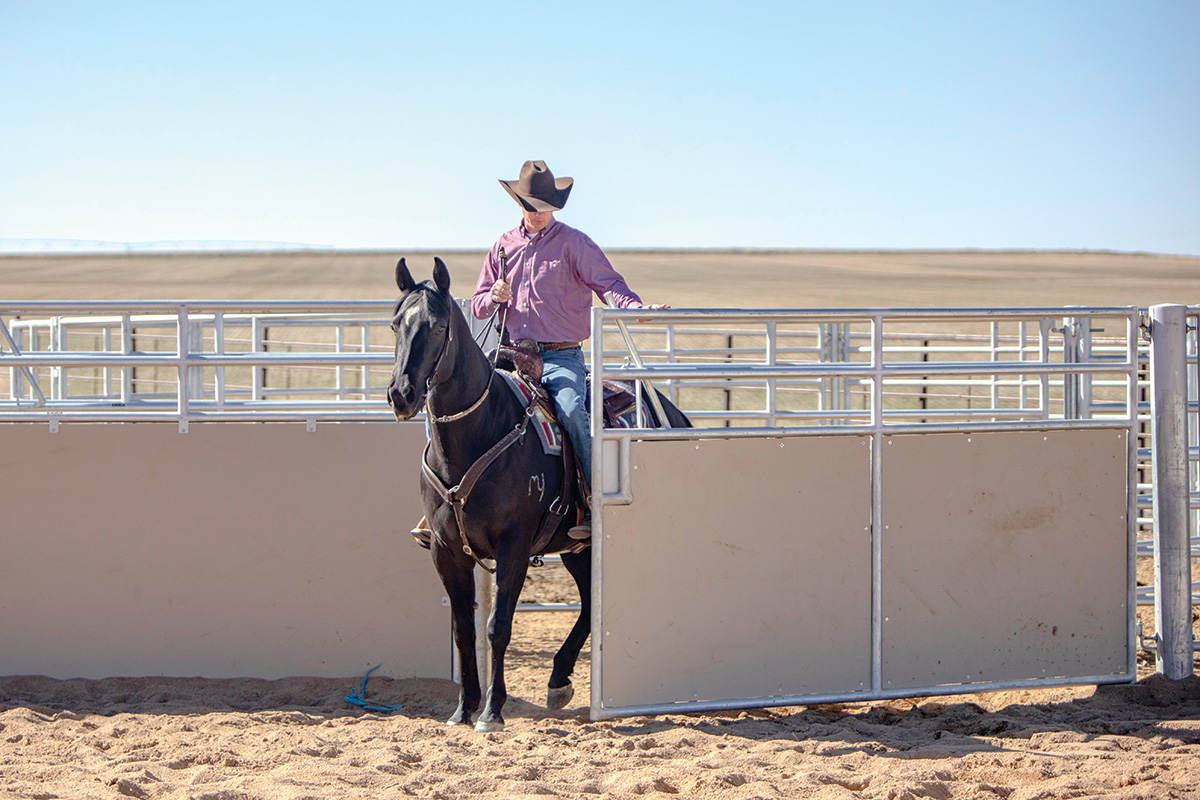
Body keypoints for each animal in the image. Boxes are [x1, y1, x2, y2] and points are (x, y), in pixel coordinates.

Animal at [384, 257, 686, 734]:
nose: (401, 394)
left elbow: (497, 626)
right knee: (588, 603)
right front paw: (463, 709)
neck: (481, 429)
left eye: (437, 326)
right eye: (396, 324)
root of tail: (670, 410)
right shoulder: (445, 550)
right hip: (577, 549)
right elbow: (463, 629)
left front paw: (491, 712)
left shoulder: (515, 544)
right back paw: (558, 679)